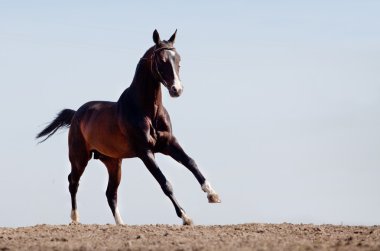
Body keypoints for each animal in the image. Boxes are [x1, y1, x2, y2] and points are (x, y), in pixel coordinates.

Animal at [36, 29, 220, 226]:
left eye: (178, 59)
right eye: (162, 60)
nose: (177, 89)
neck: (147, 111)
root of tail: (76, 113)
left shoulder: (168, 143)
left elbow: (191, 162)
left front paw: (212, 194)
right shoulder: (145, 152)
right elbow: (165, 183)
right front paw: (185, 217)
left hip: (113, 162)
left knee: (111, 193)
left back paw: (121, 224)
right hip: (79, 157)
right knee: (73, 182)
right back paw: (76, 219)